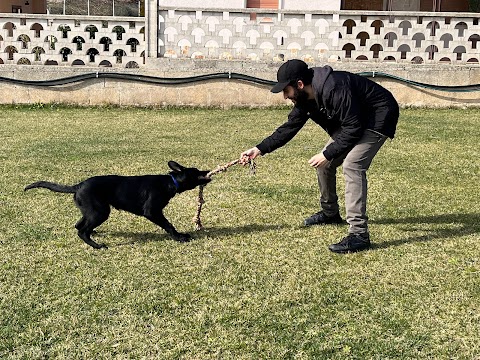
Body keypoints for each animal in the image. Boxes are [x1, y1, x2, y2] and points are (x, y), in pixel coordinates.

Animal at [24, 162, 211, 249]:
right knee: (81, 231)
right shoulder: (152, 211)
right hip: (101, 211)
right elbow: (168, 225)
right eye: (197, 171)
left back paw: (94, 233)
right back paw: (97, 245)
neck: (170, 182)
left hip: (92, 211)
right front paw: (180, 237)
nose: (208, 171)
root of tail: (78, 185)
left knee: (79, 225)